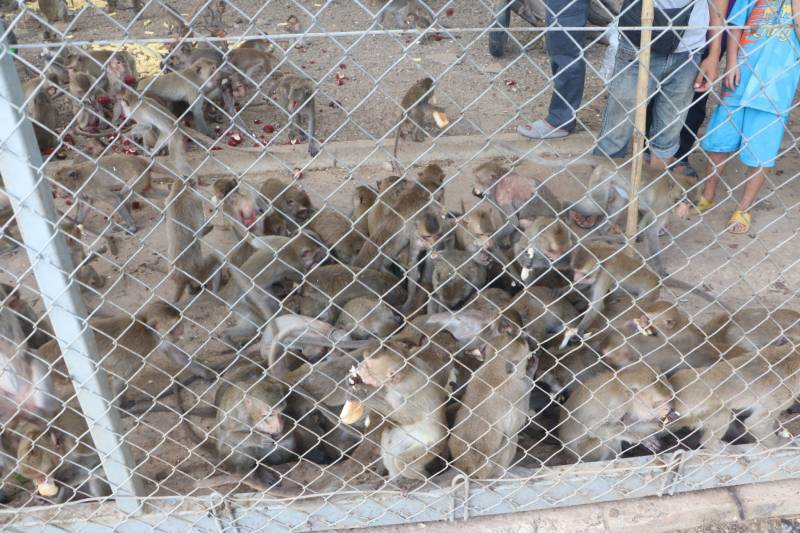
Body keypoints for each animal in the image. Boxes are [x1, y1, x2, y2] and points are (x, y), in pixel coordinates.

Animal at [341, 346, 449, 481]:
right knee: (388, 439)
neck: (408, 371)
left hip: (431, 446)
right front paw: (356, 383)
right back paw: (394, 477)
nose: (360, 366)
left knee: (401, 461)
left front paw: (362, 395)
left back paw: (422, 477)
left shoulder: (407, 387)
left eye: (367, 366)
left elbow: (408, 418)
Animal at [449, 333, 535, 478]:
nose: (524, 337)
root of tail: (469, 467)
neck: (493, 369)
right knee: (511, 437)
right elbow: (516, 426)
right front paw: (532, 370)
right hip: (491, 467)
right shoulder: (518, 389)